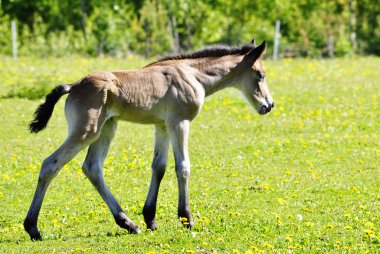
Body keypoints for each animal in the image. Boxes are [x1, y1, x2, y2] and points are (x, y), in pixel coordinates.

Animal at [23, 39, 274, 240]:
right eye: (260, 75)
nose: (269, 105)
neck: (193, 75)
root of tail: (73, 86)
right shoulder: (179, 123)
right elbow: (183, 167)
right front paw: (186, 219)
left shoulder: (161, 126)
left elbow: (159, 167)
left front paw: (150, 219)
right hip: (86, 131)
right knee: (51, 164)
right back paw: (33, 228)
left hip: (107, 128)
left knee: (92, 167)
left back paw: (128, 223)